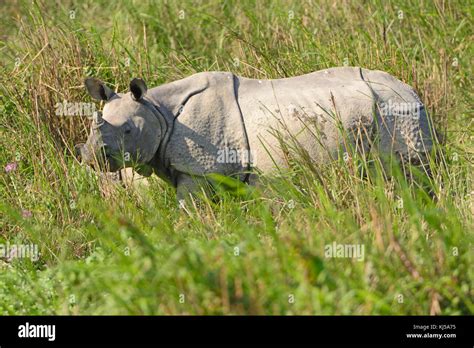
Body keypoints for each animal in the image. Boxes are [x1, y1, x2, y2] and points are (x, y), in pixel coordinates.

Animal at [77, 66, 434, 200]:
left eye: (128, 130)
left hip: (396, 114)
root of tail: (412, 92)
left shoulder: (198, 169)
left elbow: (189, 208)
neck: (156, 110)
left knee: (408, 170)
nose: (90, 156)